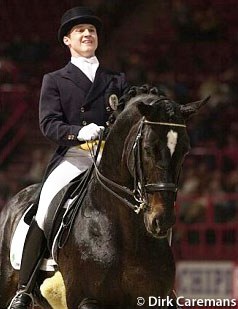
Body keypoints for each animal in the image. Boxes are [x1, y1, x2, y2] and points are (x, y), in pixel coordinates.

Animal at [0, 86, 208, 308]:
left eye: (185, 151)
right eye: (148, 148)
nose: (162, 220)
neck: (129, 235)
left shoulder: (156, 298)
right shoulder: (86, 299)